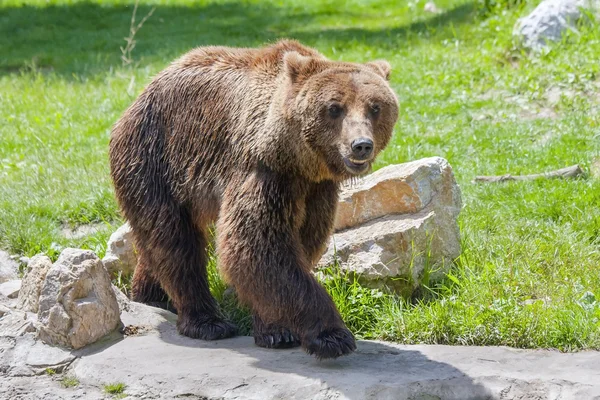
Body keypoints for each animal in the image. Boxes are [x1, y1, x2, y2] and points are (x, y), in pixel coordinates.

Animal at [109, 39, 398, 360]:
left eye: (376, 107)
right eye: (334, 108)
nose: (361, 145)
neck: (298, 160)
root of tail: (139, 97)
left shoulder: (316, 190)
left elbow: (302, 243)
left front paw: (276, 330)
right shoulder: (263, 172)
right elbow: (256, 247)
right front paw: (332, 336)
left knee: (159, 243)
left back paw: (151, 296)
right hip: (155, 159)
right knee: (174, 241)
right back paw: (206, 321)